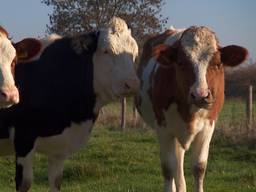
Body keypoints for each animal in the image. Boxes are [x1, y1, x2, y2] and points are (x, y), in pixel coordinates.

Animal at [0, 17, 139, 191]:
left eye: (135, 54)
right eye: (107, 50)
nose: (132, 84)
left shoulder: (60, 148)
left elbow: (56, 181)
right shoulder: (24, 139)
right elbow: (24, 183)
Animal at [136, 25, 248, 192]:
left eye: (217, 64)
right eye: (181, 63)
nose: (200, 95)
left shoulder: (208, 126)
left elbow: (199, 167)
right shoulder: (163, 128)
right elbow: (168, 168)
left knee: (179, 160)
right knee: (175, 165)